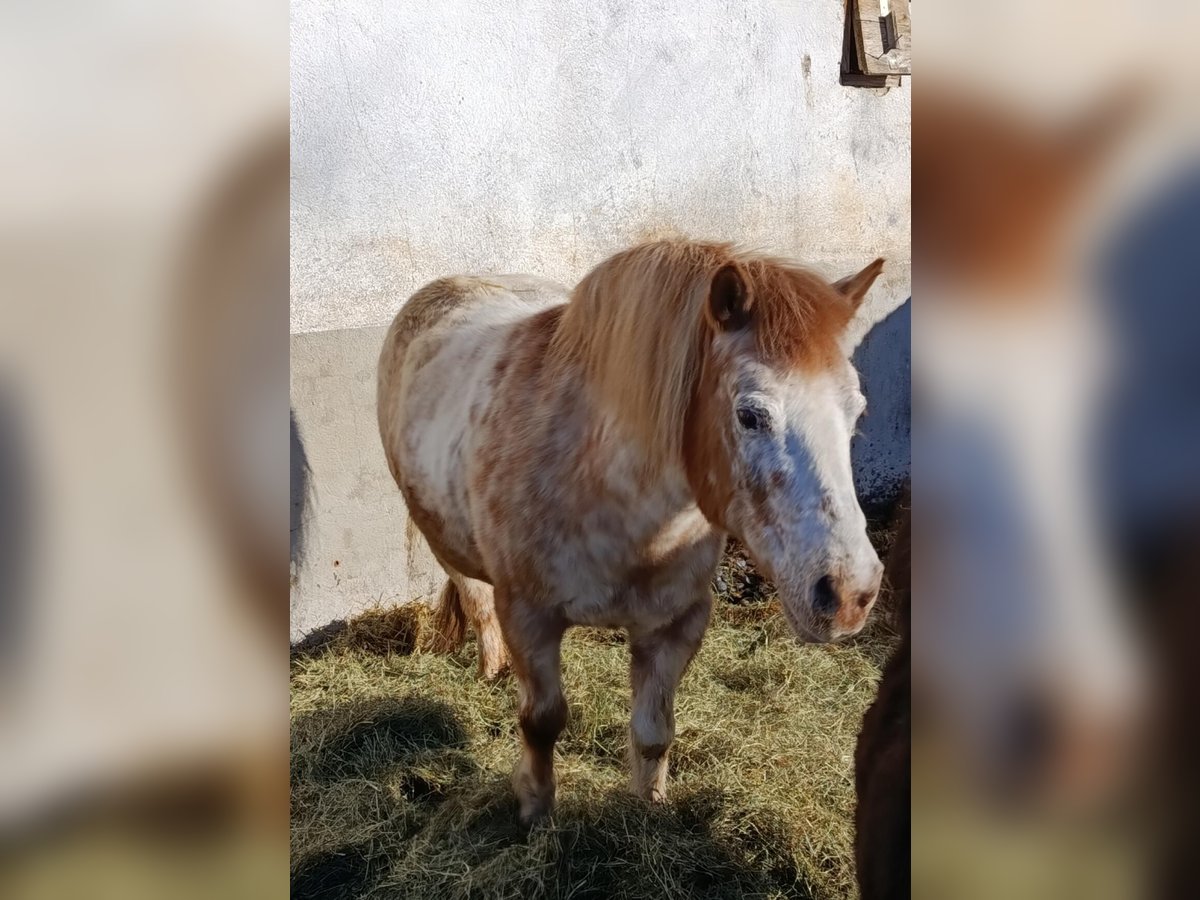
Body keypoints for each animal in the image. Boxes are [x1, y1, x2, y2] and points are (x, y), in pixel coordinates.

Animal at [378, 240, 887, 823]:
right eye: (750, 415)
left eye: (856, 410)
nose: (849, 593)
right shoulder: (529, 617)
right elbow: (542, 721)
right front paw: (534, 811)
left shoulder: (674, 624)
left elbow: (653, 732)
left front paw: (649, 809)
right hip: (445, 543)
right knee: (474, 598)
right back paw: (492, 671)